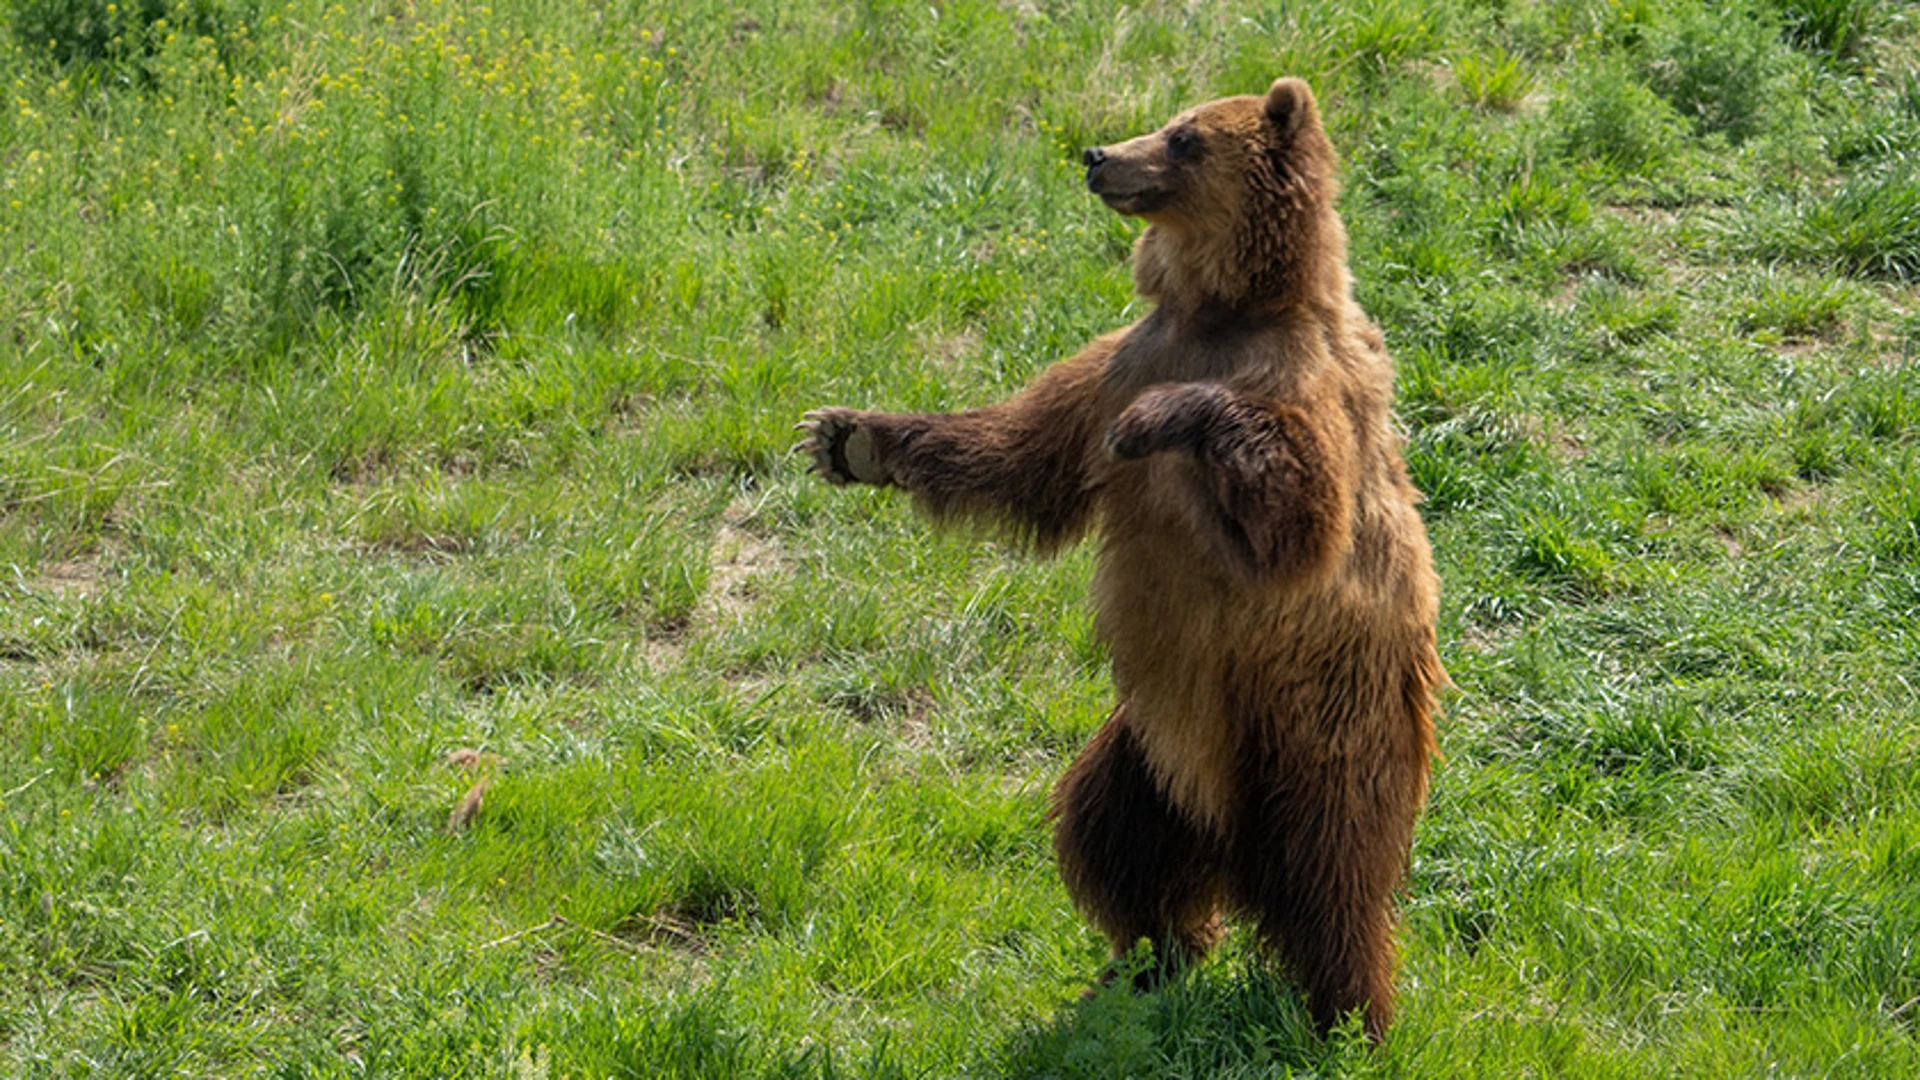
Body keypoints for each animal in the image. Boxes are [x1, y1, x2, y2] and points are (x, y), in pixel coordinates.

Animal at [794, 75, 1443, 1037]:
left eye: (1184, 138)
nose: (1100, 155)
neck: (1224, 309)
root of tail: (1232, 846)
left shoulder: (1302, 384)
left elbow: (1299, 521)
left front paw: (1163, 422)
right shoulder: (1123, 358)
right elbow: (1024, 453)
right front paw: (849, 438)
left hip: (1318, 726)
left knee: (1335, 872)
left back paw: (1345, 1014)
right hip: (1151, 754)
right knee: (1110, 835)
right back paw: (1146, 960)